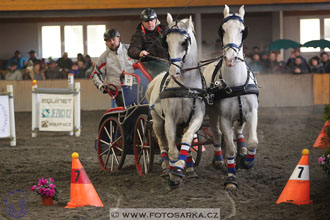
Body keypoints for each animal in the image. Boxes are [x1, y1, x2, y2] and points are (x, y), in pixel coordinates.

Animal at [146, 12, 205, 187]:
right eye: (166, 42)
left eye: (184, 42)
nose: (174, 72)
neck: (185, 87)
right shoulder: (170, 119)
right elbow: (172, 148)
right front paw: (174, 173)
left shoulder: (196, 117)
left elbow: (187, 140)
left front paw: (181, 168)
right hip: (157, 121)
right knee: (162, 143)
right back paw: (166, 168)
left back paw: (190, 169)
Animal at [204, 5, 258, 191]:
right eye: (223, 30)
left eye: (243, 31)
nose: (229, 58)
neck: (236, 84)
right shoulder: (225, 118)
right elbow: (230, 149)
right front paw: (231, 178)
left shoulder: (252, 112)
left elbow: (253, 142)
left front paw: (246, 162)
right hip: (212, 114)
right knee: (217, 134)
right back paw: (219, 160)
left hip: (242, 115)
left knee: (239, 131)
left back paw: (243, 151)